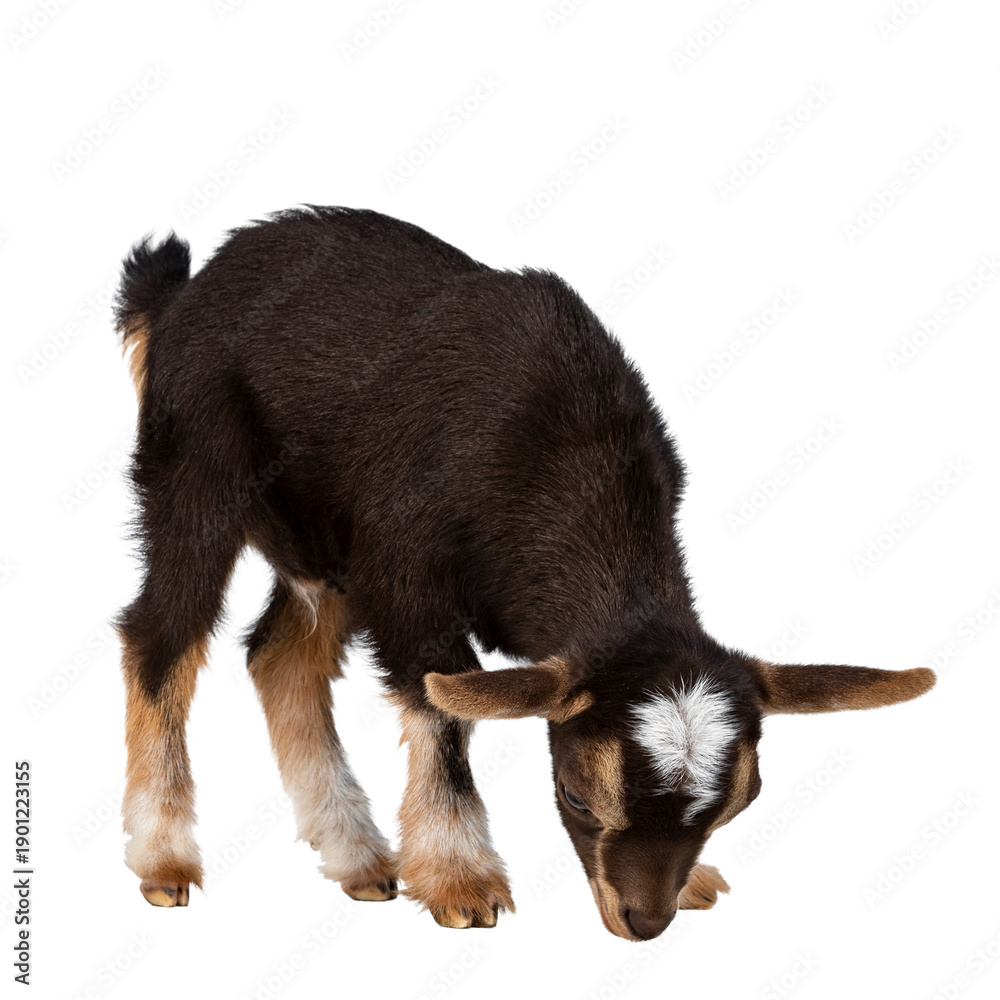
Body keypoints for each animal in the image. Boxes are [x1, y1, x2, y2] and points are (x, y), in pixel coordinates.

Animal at [113, 206, 935, 939]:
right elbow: (441, 709)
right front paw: (461, 879)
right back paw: (164, 860)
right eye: (576, 795)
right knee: (160, 635)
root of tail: (182, 294)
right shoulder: (406, 570)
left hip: (321, 545)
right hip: (197, 476)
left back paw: (356, 858)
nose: (644, 922)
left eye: (738, 804)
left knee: (280, 655)